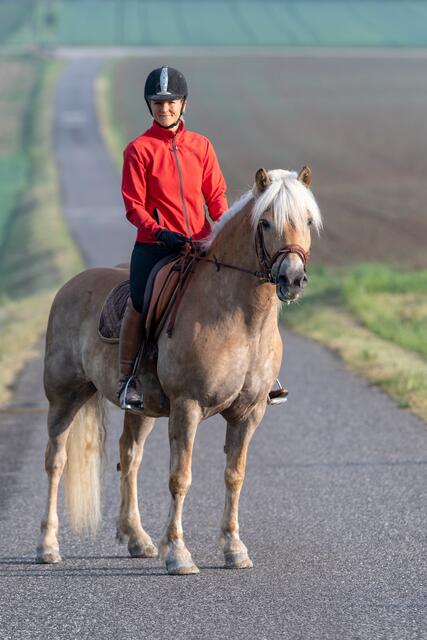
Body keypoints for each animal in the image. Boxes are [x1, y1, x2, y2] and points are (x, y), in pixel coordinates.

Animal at [36, 167, 322, 574]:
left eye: (308, 221)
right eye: (266, 222)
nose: (293, 279)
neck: (240, 317)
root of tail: (70, 286)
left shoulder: (249, 414)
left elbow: (235, 476)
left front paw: (234, 548)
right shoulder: (187, 407)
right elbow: (180, 478)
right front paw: (178, 553)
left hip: (141, 410)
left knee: (130, 457)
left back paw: (137, 539)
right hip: (64, 398)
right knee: (55, 462)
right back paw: (48, 546)